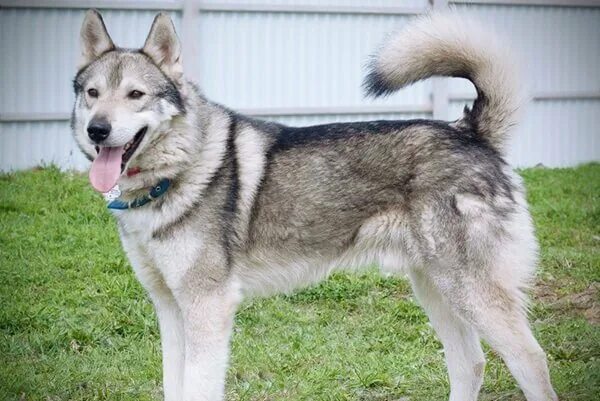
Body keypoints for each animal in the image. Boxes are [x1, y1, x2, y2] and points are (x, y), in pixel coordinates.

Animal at [72, 8, 560, 400]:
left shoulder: (207, 309)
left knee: (531, 362)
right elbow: (173, 388)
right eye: (92, 94)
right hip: (437, 290)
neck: (177, 172)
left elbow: (198, 389)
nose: (98, 130)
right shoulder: (170, 310)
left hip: (470, 293)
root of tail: (469, 132)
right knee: (470, 365)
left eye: (136, 95)